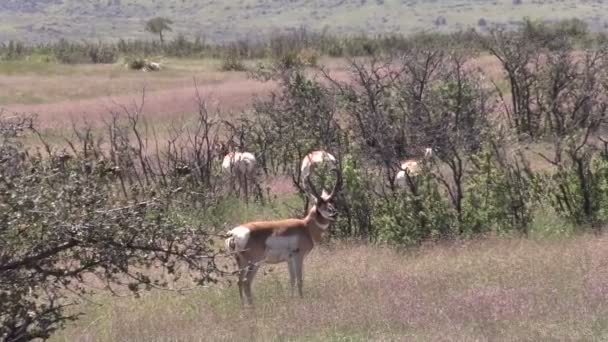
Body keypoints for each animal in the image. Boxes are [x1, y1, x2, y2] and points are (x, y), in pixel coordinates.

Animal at [224, 170, 342, 306]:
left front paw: (292, 299)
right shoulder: (298, 257)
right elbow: (300, 279)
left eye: (332, 202)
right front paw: (301, 300)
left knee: (239, 281)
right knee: (246, 281)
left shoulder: (289, 260)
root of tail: (233, 234)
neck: (305, 226)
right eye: (319, 203)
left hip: (242, 263)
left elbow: (292, 280)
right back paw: (252, 307)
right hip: (254, 263)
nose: (334, 213)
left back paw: (244, 307)